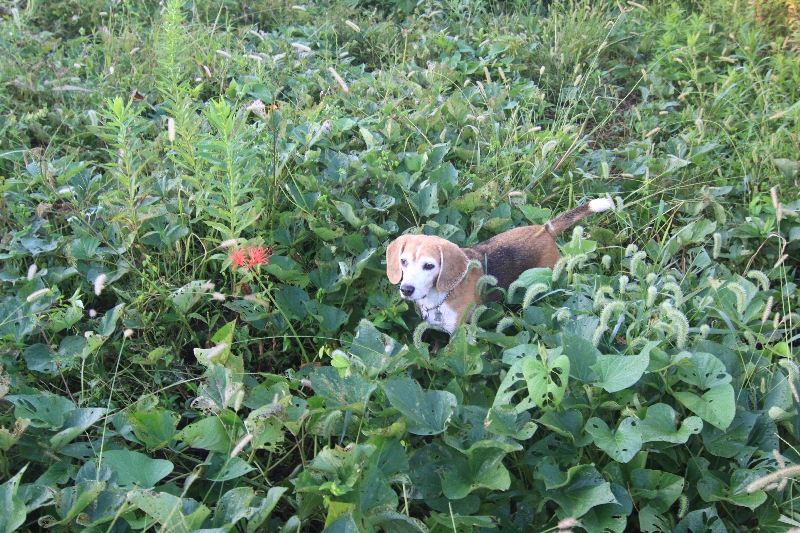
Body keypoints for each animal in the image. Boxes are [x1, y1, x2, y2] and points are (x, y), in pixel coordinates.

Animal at [386, 197, 614, 332]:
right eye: (403, 261)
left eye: (429, 266)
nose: (406, 290)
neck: (437, 299)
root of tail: (544, 230)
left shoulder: (457, 334)